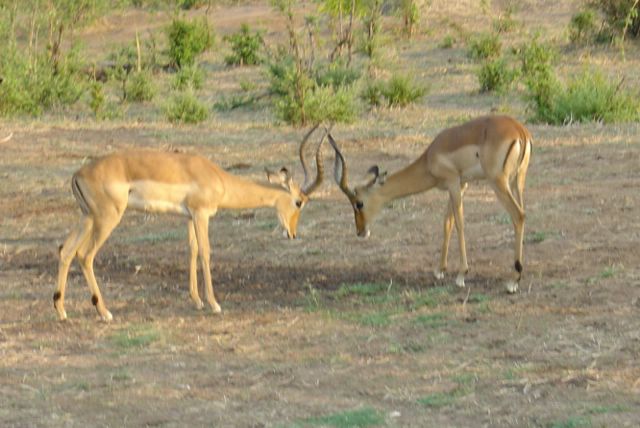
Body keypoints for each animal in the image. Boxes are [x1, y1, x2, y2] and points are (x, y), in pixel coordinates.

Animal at [54, 126, 326, 321]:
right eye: (299, 202)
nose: (292, 233)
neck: (218, 178)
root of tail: (78, 174)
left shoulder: (188, 216)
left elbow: (192, 250)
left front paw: (196, 301)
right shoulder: (201, 214)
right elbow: (205, 252)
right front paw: (214, 304)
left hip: (87, 217)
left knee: (66, 250)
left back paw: (62, 310)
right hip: (107, 218)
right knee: (85, 255)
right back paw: (104, 312)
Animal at [328, 115, 532, 293]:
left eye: (359, 203)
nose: (360, 231)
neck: (429, 158)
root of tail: (520, 131)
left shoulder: (453, 183)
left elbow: (459, 224)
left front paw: (461, 275)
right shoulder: (461, 184)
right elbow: (447, 223)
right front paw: (440, 270)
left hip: (498, 182)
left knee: (518, 215)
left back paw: (513, 280)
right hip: (518, 181)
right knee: (522, 214)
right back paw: (518, 275)